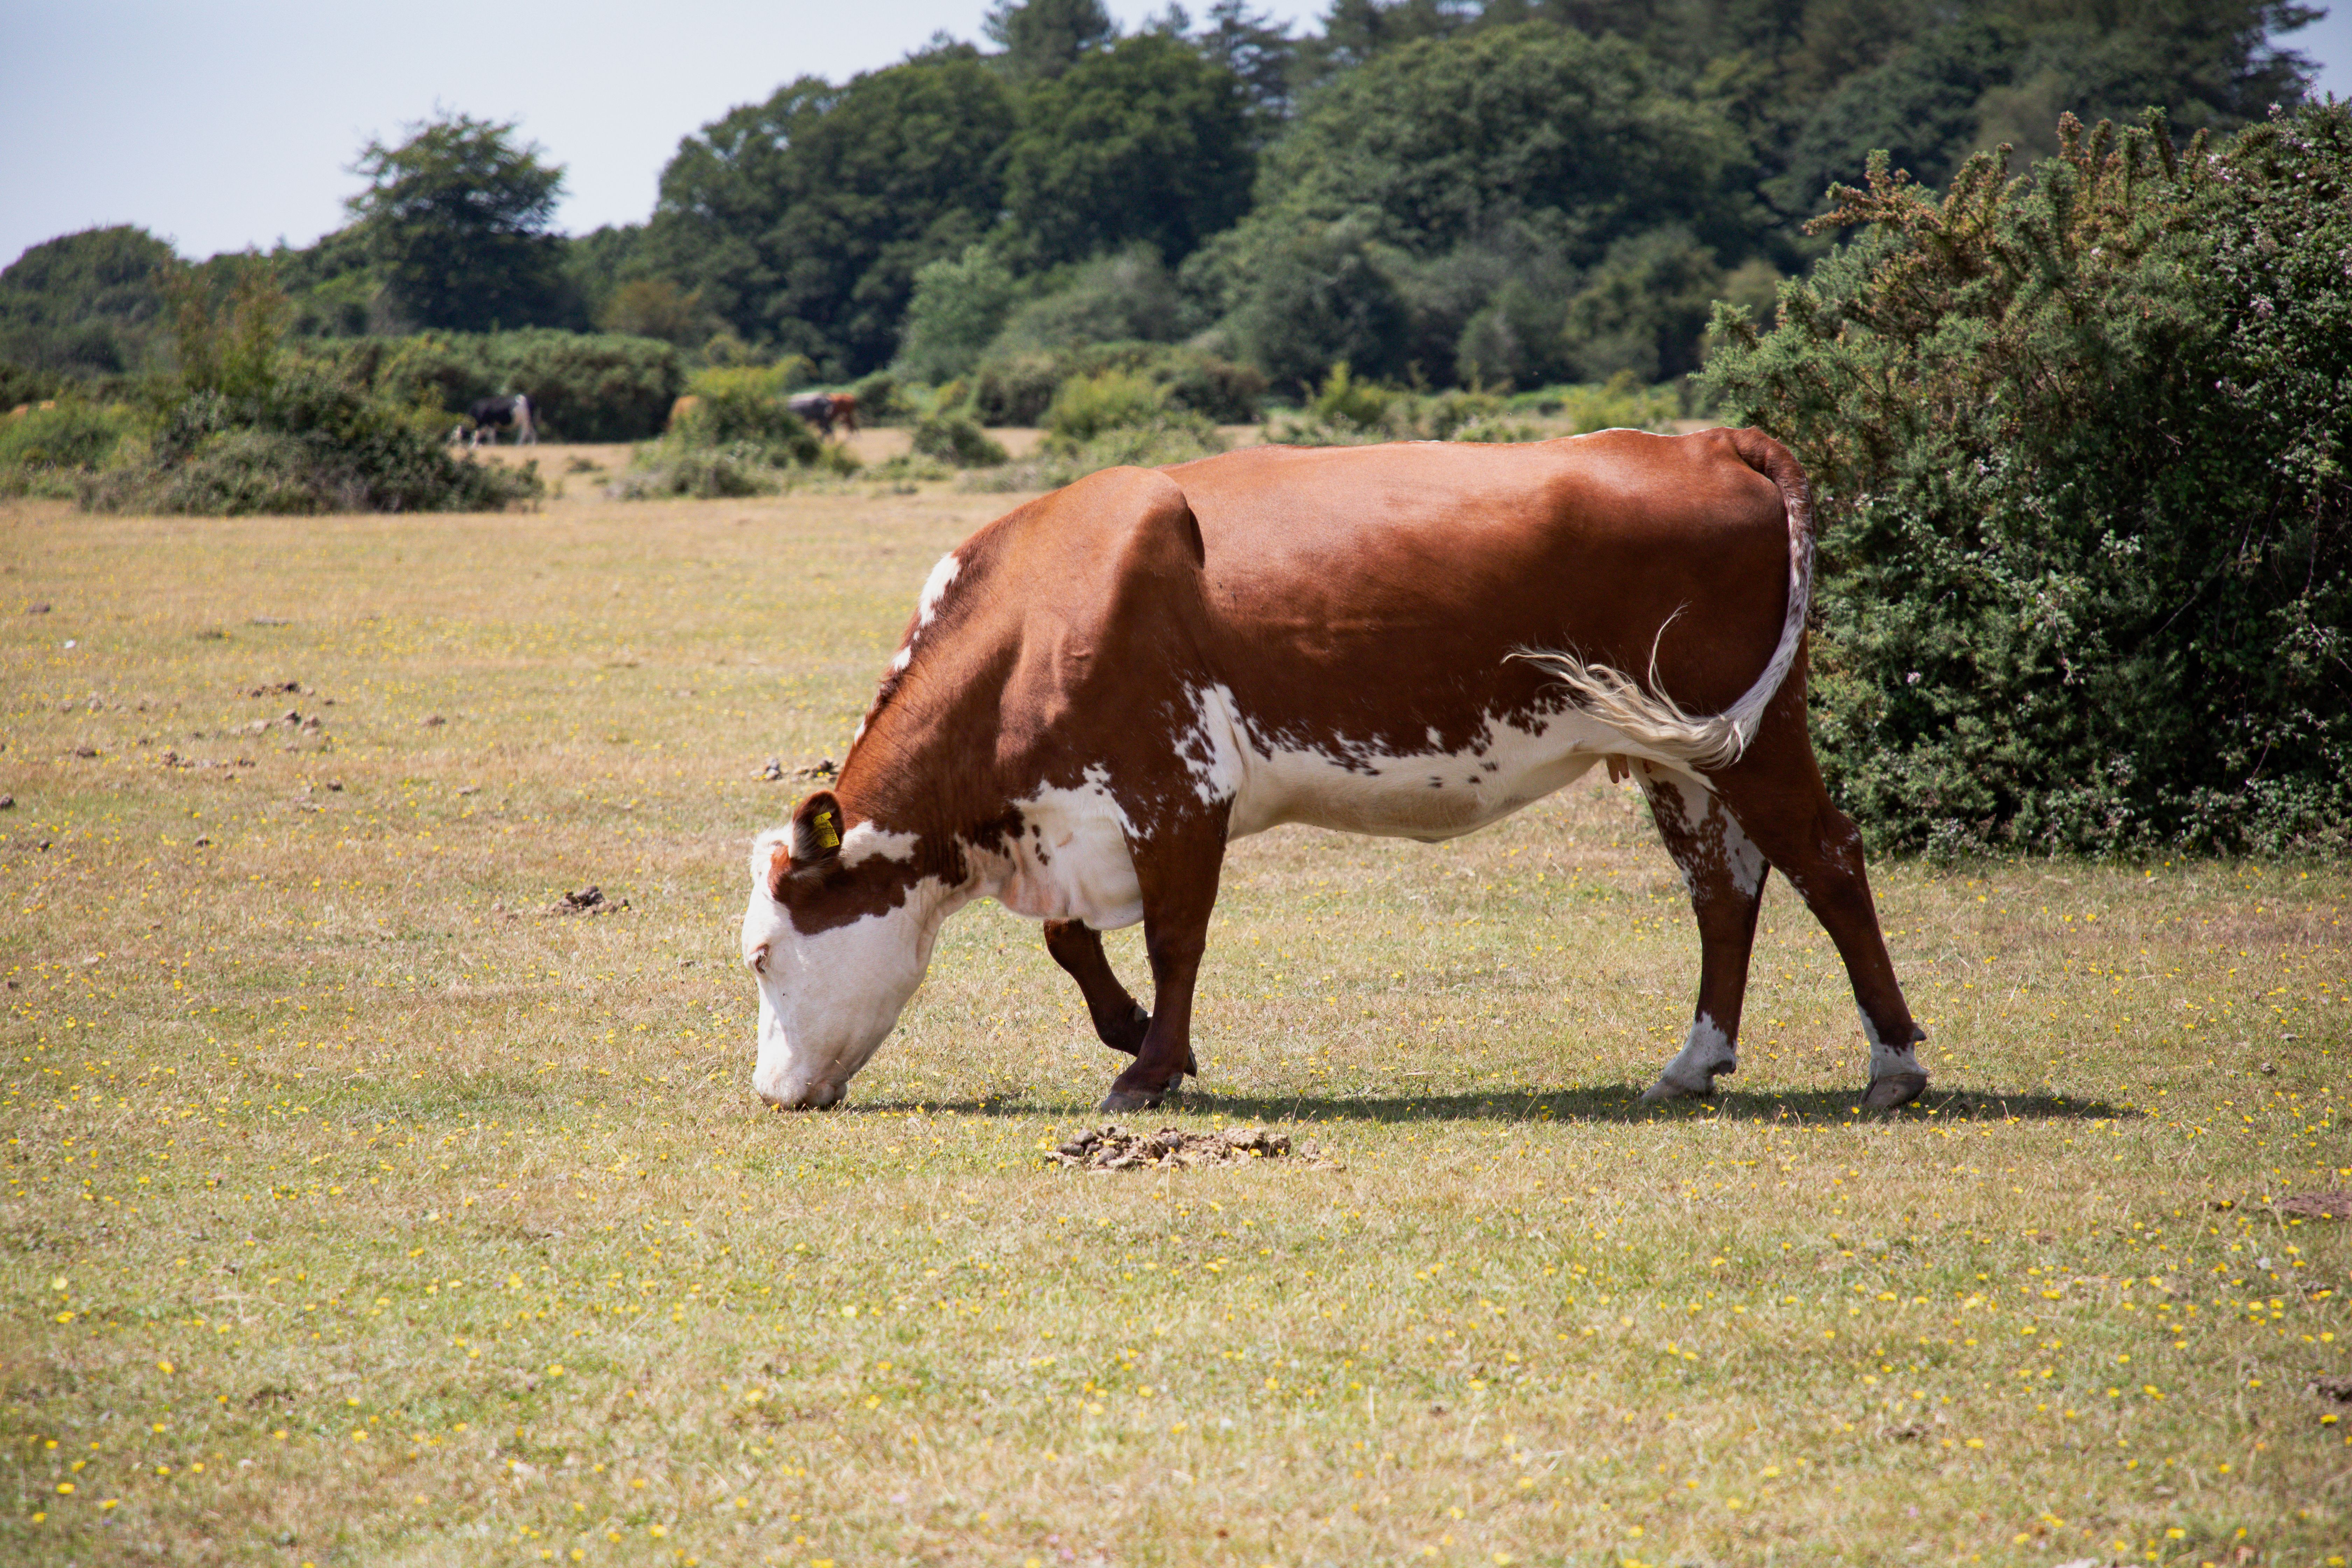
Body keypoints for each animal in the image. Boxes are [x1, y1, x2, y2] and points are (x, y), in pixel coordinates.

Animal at [468, 393, 536, 447]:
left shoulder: (491, 423)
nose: (470, 447)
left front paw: (492, 445)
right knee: (532, 432)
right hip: (530, 421)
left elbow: (490, 435)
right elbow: (484, 435)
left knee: (524, 432)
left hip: (524, 421)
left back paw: (518, 444)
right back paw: (533, 444)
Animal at [740, 429, 1929, 1116]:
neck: (1045, 603)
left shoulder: (1178, 788)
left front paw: (1150, 1064)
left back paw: (1896, 1065)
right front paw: (1131, 1030)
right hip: (1674, 752)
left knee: (1827, 857)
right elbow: (1070, 939)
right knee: (1722, 888)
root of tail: (1708, 437)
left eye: (761, 954)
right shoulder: (1069, 815)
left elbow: (1174, 941)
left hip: (1755, 730)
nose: (769, 1092)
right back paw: (1693, 1062)